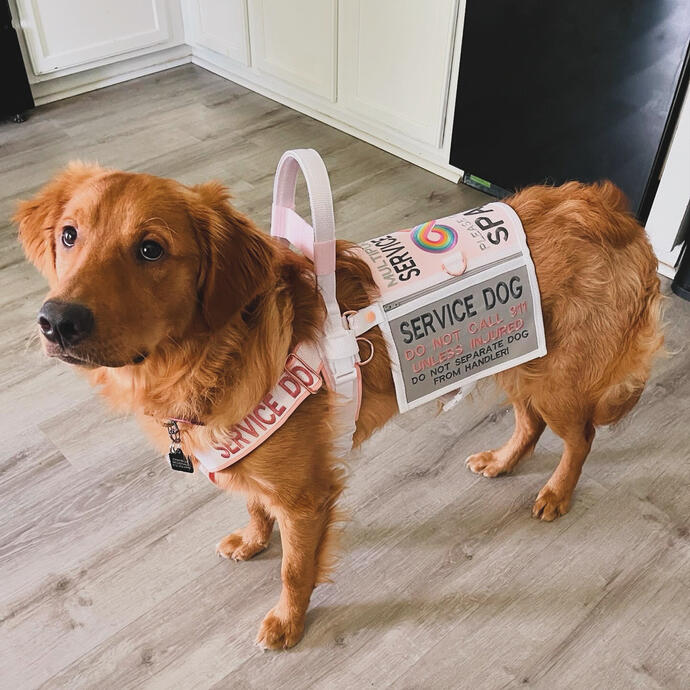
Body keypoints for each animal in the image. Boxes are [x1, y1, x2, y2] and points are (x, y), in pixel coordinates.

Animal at [16, 160, 660, 644]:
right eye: (70, 235)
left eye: (151, 250)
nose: (57, 322)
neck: (212, 355)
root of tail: (613, 210)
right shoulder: (247, 462)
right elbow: (254, 505)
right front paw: (253, 539)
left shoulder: (307, 497)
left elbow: (295, 568)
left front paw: (287, 622)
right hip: (519, 359)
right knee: (530, 424)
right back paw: (503, 462)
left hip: (554, 378)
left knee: (581, 437)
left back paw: (556, 493)